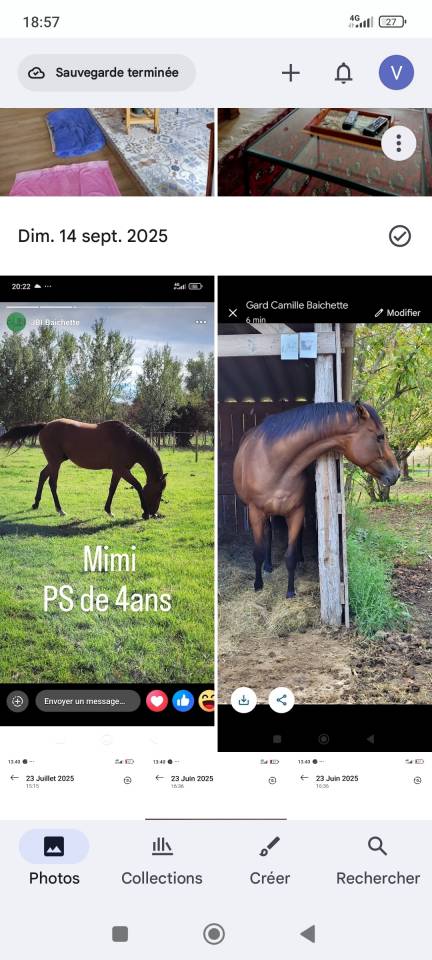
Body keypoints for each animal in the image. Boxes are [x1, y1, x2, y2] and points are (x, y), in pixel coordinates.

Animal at [0, 419, 167, 520]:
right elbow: (137, 486)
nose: (154, 513)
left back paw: (36, 504)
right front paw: (144, 512)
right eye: (159, 491)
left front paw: (108, 510)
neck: (127, 441)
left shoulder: (118, 471)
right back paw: (60, 509)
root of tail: (45, 425)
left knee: (42, 476)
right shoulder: (123, 470)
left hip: (55, 461)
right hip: (55, 462)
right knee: (52, 483)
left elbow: (112, 489)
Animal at [233, 400, 400, 599]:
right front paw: (258, 584)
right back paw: (267, 565)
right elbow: (257, 552)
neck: (273, 462)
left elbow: (290, 555)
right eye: (380, 437)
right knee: (269, 533)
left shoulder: (296, 511)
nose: (396, 473)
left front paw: (290, 590)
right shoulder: (255, 512)